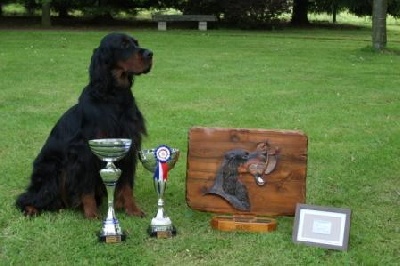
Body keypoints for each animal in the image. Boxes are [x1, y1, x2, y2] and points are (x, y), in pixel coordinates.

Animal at [16, 32, 152, 218]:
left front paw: (132, 209)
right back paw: (32, 208)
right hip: (52, 170)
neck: (113, 96)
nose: (150, 54)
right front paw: (91, 213)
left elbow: (127, 184)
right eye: (124, 45)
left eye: (136, 42)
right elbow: (86, 185)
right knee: (27, 197)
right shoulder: (84, 152)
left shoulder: (129, 146)